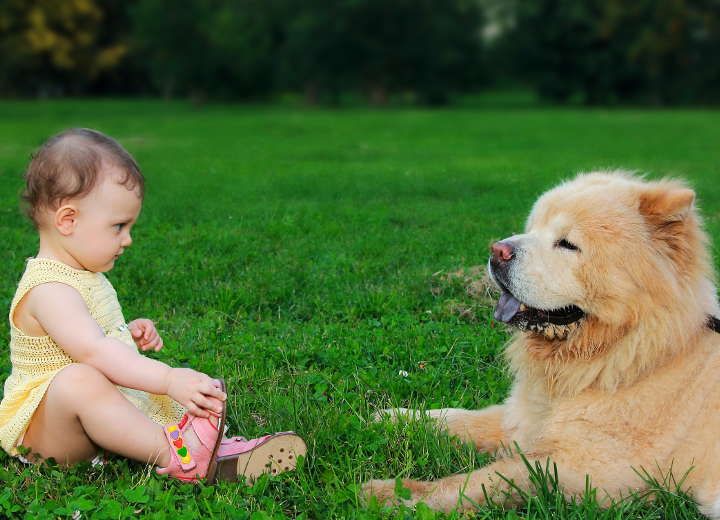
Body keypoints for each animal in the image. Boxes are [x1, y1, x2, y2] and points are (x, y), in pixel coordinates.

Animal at [362, 172, 720, 516]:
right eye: (532, 228)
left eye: (567, 244)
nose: (497, 250)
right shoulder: (523, 418)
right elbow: (461, 417)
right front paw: (393, 417)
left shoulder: (591, 468)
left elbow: (491, 477)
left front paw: (395, 495)